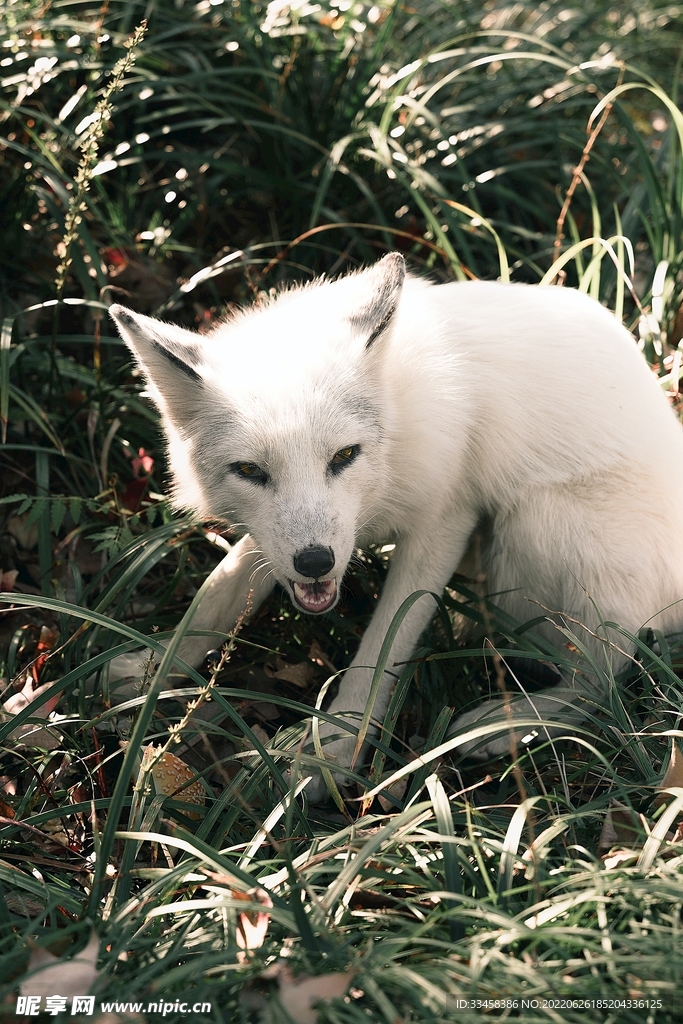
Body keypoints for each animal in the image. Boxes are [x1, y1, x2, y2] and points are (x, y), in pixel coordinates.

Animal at [109, 251, 683, 794]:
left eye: (344, 456)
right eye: (250, 471)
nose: (315, 562)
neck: (396, 430)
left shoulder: (445, 520)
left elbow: (382, 648)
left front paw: (331, 751)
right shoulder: (282, 541)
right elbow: (217, 593)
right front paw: (148, 673)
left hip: (535, 525)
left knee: (604, 684)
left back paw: (508, 725)